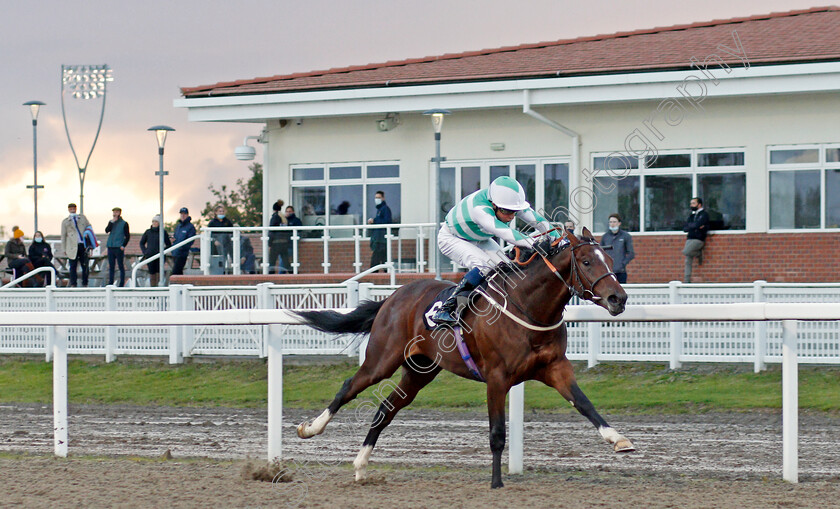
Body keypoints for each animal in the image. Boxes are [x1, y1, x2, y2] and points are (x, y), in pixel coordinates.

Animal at [296, 227, 632, 488]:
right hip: (382, 359)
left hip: (419, 372)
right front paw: (496, 482)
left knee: (385, 410)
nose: (619, 298)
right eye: (586, 261)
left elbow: (585, 404)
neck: (528, 306)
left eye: (610, 260)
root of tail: (392, 297)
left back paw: (361, 466)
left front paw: (619, 440)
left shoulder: (555, 368)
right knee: (349, 387)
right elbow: (497, 432)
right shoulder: (497, 377)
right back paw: (311, 429)